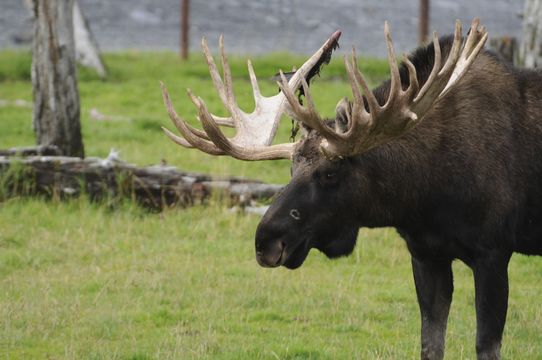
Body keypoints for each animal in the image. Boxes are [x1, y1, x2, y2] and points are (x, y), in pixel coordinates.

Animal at [160, 19, 542, 360]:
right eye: (291, 168)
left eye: (331, 172)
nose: (266, 241)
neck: (424, 191)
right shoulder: (425, 254)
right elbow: (430, 345)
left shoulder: (493, 253)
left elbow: (485, 347)